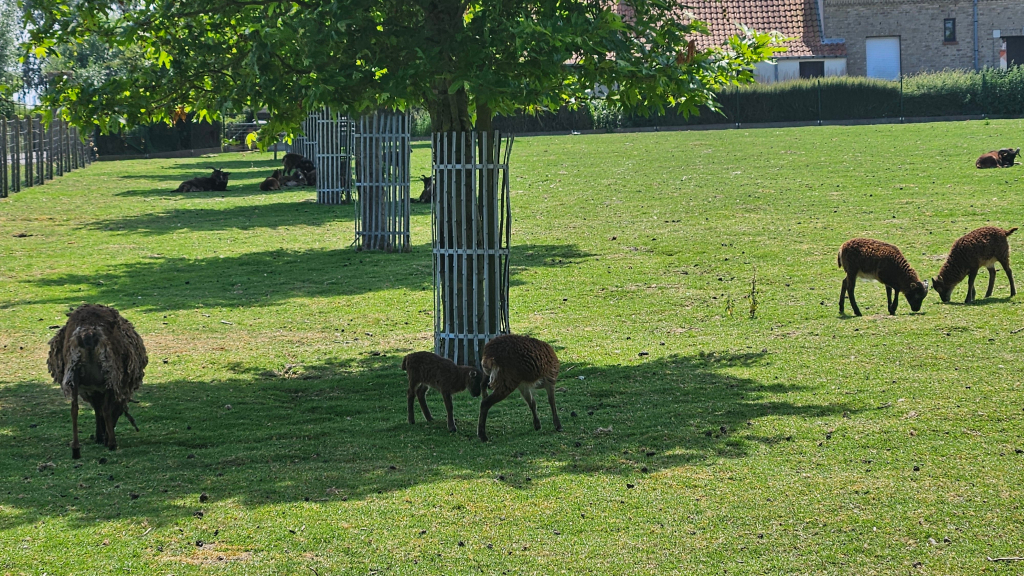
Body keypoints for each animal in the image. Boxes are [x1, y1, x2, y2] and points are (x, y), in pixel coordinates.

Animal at [47, 304, 148, 459]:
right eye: (119, 411)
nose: (105, 435)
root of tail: (87, 333)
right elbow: (103, 409)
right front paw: (105, 438)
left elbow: (96, 410)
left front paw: (99, 436)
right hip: (109, 372)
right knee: (104, 409)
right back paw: (112, 443)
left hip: (73, 373)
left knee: (74, 409)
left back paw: (76, 448)